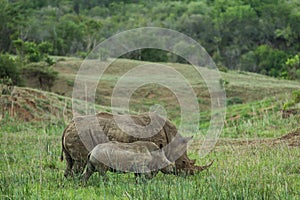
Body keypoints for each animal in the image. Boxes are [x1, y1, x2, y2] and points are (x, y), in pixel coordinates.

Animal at [60, 112, 211, 177]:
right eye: (184, 162)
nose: (190, 175)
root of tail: (67, 126)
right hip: (81, 134)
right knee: (79, 163)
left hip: (76, 133)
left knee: (69, 162)